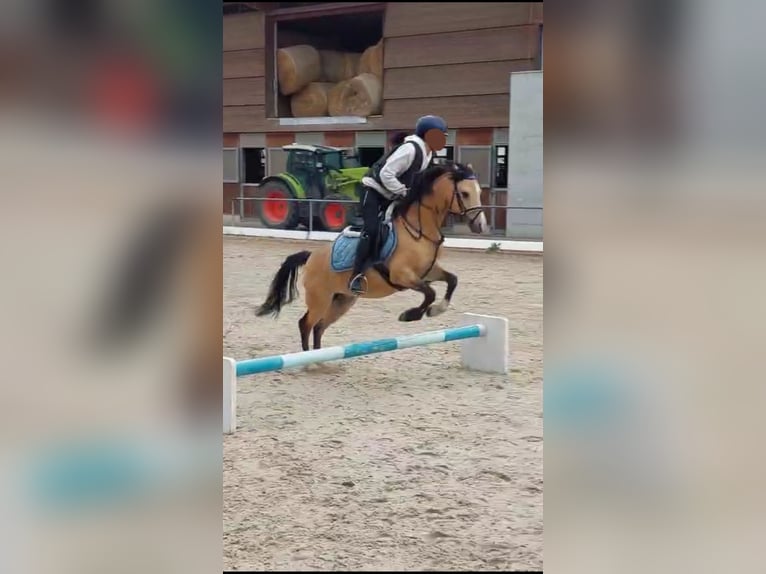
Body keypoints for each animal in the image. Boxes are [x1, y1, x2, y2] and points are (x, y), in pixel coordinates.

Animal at [255, 162, 489, 351]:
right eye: (465, 193)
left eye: (478, 191)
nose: (481, 226)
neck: (419, 229)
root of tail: (311, 256)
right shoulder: (402, 275)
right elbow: (430, 293)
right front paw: (411, 315)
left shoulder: (429, 271)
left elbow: (452, 280)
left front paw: (436, 310)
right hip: (319, 299)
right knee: (306, 324)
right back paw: (309, 362)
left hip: (342, 300)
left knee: (319, 326)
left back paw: (320, 360)